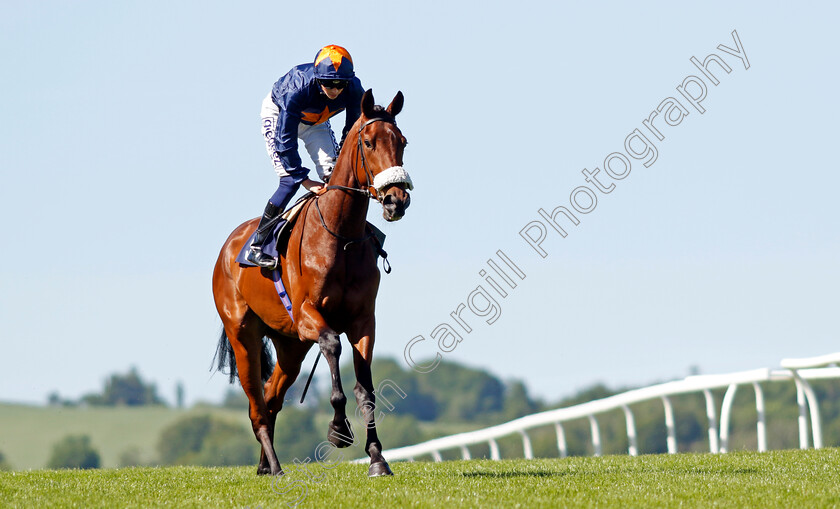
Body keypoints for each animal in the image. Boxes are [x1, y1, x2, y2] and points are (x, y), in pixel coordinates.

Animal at [208, 88, 408, 476]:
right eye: (369, 142)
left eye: (403, 142)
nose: (397, 199)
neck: (340, 237)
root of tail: (228, 248)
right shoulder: (308, 315)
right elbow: (332, 346)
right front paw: (338, 430)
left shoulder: (363, 320)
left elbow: (366, 390)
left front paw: (377, 458)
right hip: (244, 336)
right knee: (257, 405)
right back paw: (275, 467)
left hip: (291, 346)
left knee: (271, 397)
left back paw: (265, 465)